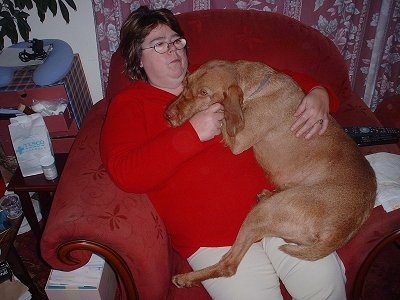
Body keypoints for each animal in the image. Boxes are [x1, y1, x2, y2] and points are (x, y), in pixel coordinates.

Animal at [164, 59, 376, 288]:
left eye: (203, 93)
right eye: (186, 82)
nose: (167, 114)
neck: (257, 88)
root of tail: (345, 228)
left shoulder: (237, 141)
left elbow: (222, 115)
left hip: (262, 214)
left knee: (229, 265)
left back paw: (186, 278)